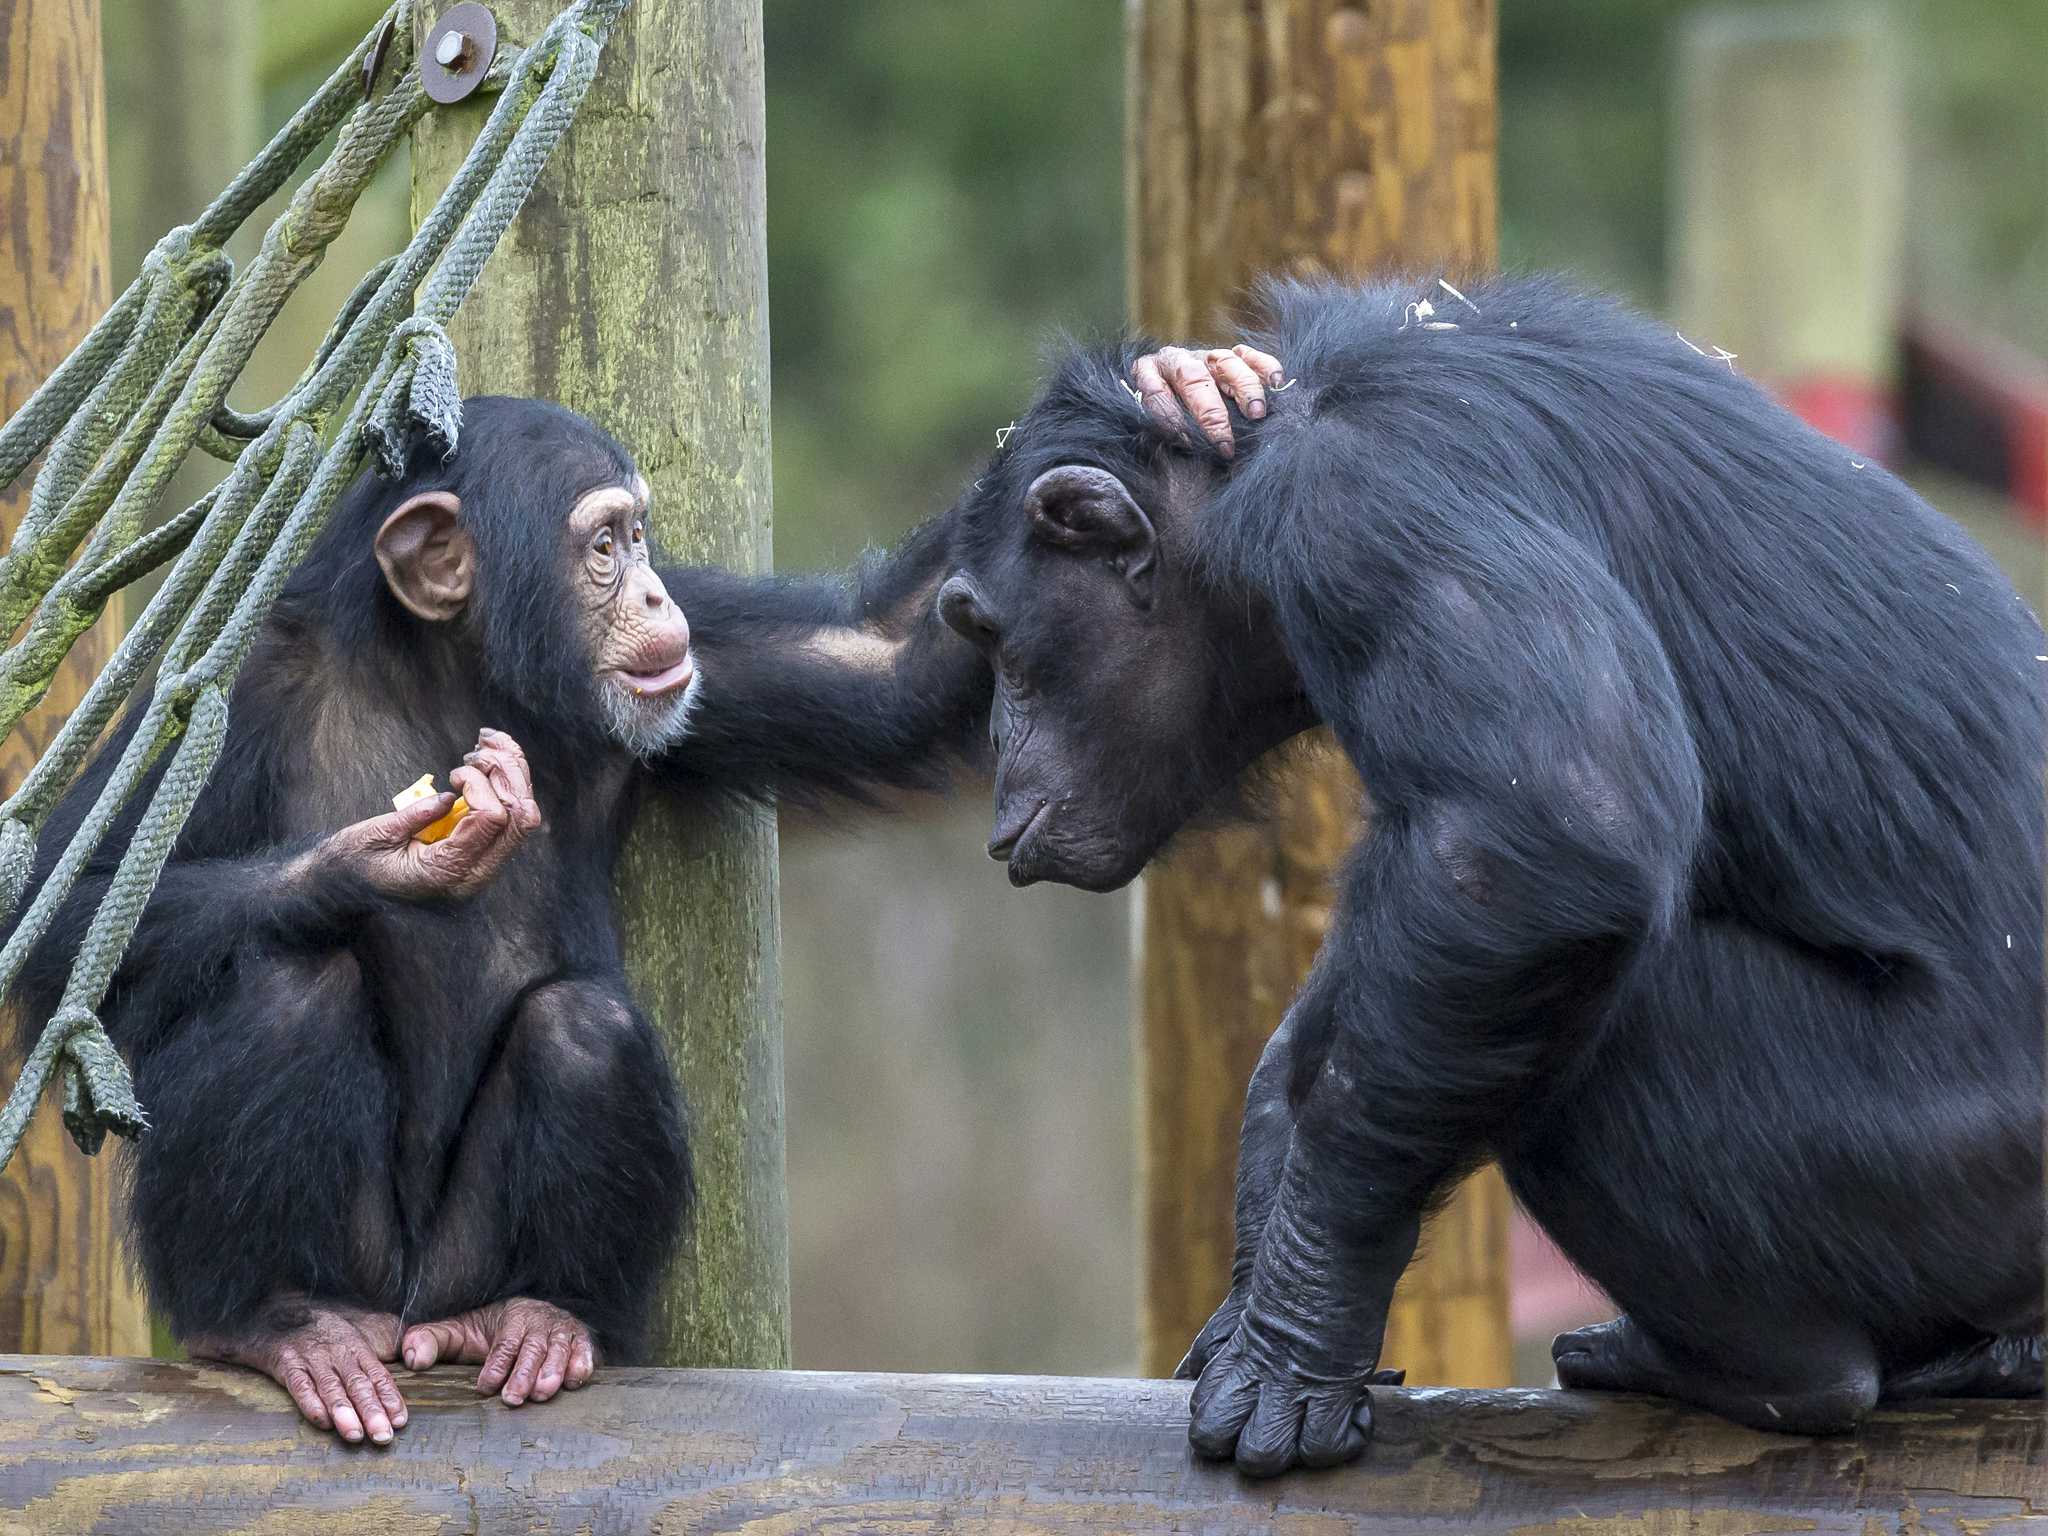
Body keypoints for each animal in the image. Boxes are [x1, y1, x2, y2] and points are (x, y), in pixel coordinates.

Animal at [937, 276, 2039, 1482]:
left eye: (989, 636)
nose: (997, 750)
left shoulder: (1365, 510)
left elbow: (1540, 836)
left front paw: (1295, 1331)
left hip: (1945, 1176)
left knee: (1619, 1029)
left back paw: (1750, 1368)